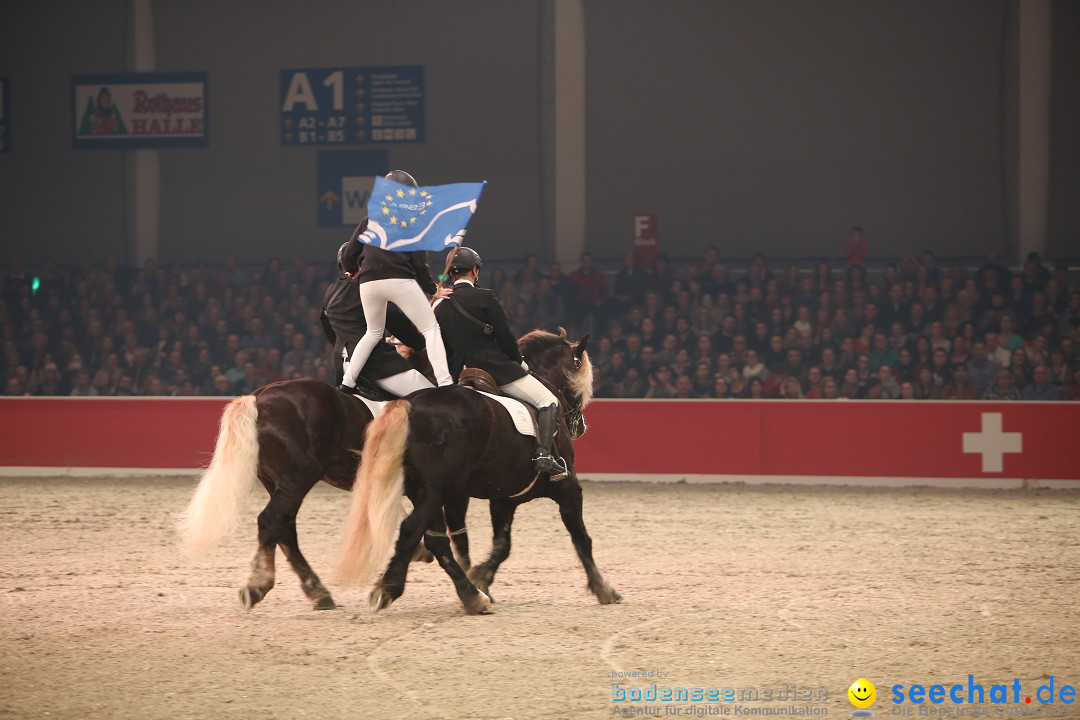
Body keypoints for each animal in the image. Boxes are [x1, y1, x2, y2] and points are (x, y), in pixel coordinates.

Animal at [174, 379, 470, 613]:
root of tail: (259, 397)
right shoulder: (436, 486)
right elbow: (438, 533)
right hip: (297, 480)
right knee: (272, 521)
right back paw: (258, 585)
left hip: (279, 483)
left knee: (284, 529)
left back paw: (317, 592)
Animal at [336, 330, 626, 617]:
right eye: (580, 373)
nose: (580, 426)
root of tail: (409, 403)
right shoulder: (568, 488)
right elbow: (582, 539)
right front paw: (604, 589)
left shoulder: (503, 499)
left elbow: (502, 545)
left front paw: (481, 578)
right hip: (435, 492)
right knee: (411, 530)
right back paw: (391, 588)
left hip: (422, 492)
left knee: (436, 541)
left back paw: (471, 595)